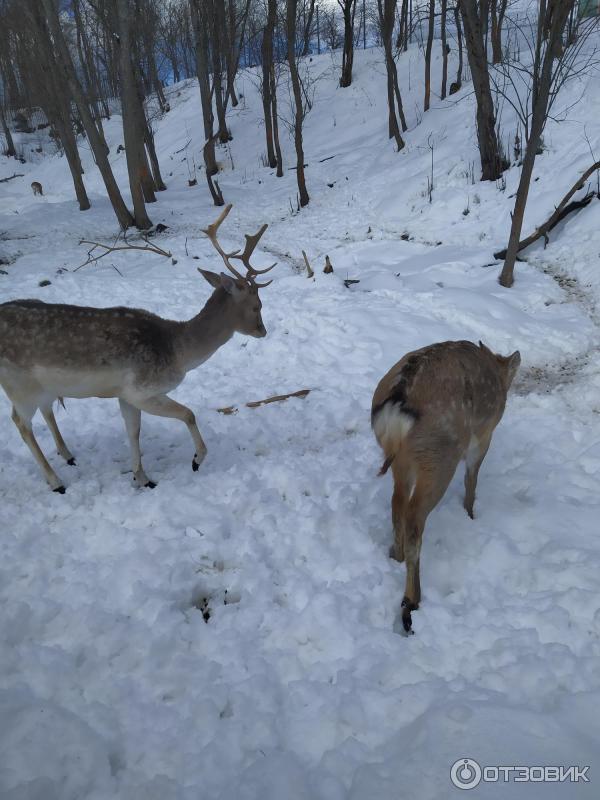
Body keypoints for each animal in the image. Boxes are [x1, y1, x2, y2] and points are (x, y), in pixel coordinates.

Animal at [0, 205, 276, 494]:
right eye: (257, 305)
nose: (263, 331)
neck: (179, 353)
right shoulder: (141, 390)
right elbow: (188, 414)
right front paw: (196, 460)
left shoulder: (125, 395)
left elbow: (133, 431)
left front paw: (142, 478)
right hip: (19, 386)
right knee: (20, 423)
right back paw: (56, 482)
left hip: (41, 387)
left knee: (46, 410)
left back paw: (68, 456)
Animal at [370, 340, 520, 636]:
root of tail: (397, 403)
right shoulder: (483, 437)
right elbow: (472, 478)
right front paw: (470, 515)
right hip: (439, 456)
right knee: (415, 518)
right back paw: (411, 601)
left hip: (401, 458)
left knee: (397, 503)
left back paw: (395, 556)